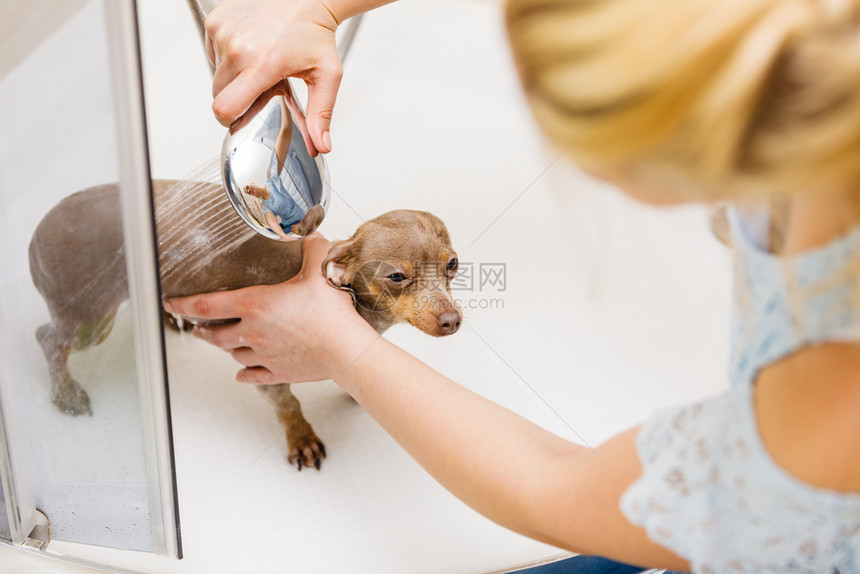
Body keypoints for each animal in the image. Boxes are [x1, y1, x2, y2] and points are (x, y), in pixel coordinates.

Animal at [26, 181, 460, 472]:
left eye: (452, 264)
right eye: (396, 277)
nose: (451, 320)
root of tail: (33, 237)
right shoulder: (263, 364)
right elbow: (288, 405)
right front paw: (301, 438)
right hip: (89, 319)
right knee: (46, 340)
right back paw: (65, 392)